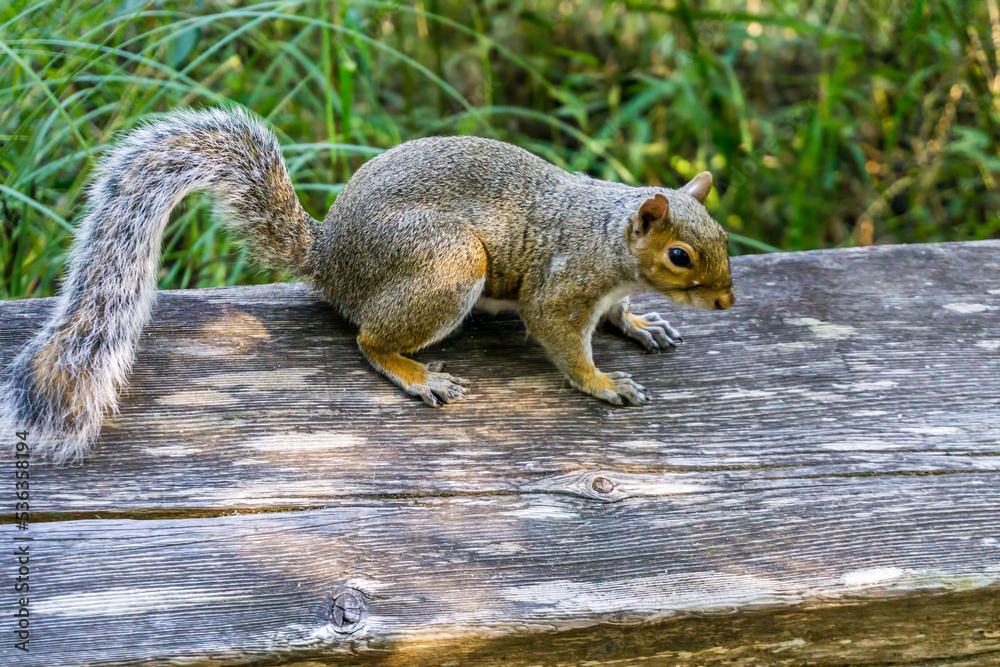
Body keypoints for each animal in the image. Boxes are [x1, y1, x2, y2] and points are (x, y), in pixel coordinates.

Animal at [0, 106, 735, 463]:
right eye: (678, 254)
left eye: (723, 236)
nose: (726, 301)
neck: (610, 236)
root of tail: (329, 255)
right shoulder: (561, 285)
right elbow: (559, 335)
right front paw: (604, 382)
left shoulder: (607, 288)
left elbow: (619, 314)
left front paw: (642, 325)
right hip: (448, 264)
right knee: (369, 341)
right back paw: (416, 373)